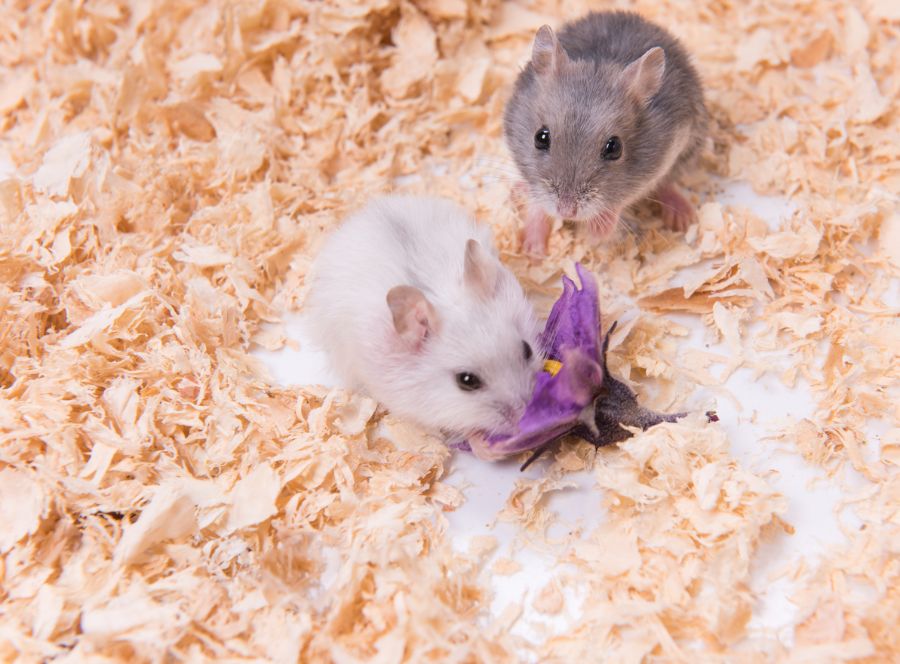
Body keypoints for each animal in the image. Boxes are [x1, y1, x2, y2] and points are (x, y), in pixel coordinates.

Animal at [503, 11, 709, 254]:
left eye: (614, 148)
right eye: (540, 137)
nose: (567, 212)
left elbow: (621, 200)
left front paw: (594, 235)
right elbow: (537, 203)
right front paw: (533, 251)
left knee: (669, 183)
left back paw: (682, 217)